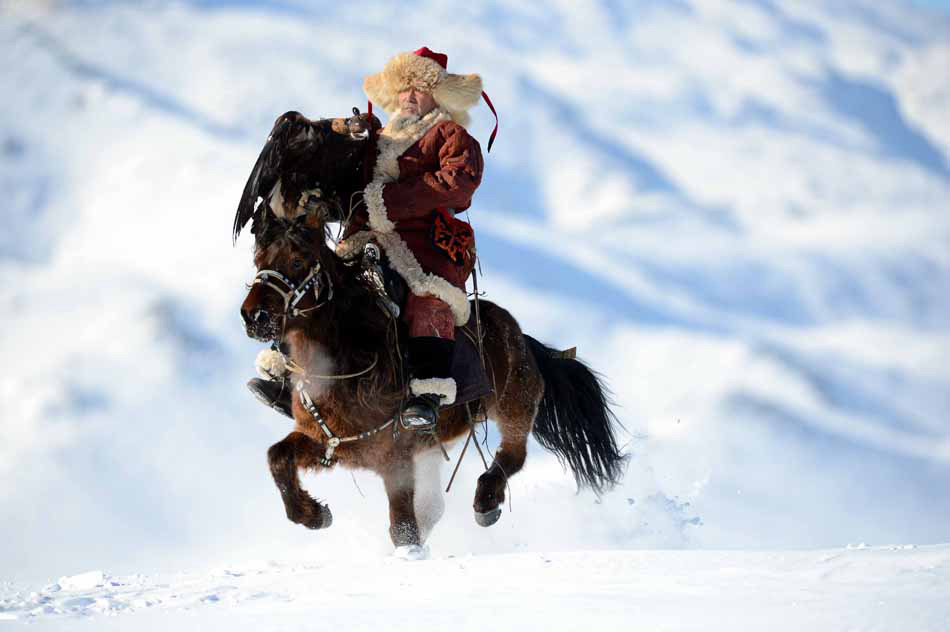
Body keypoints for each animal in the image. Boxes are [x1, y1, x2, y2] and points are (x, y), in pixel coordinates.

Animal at [240, 209, 624, 552]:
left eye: (298, 261)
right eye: (259, 260)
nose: (254, 317)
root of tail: (519, 336)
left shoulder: (394, 457)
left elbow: (403, 528)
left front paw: (409, 554)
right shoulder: (328, 441)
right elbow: (278, 457)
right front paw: (314, 514)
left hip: (514, 407)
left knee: (513, 456)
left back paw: (486, 503)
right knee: (437, 503)